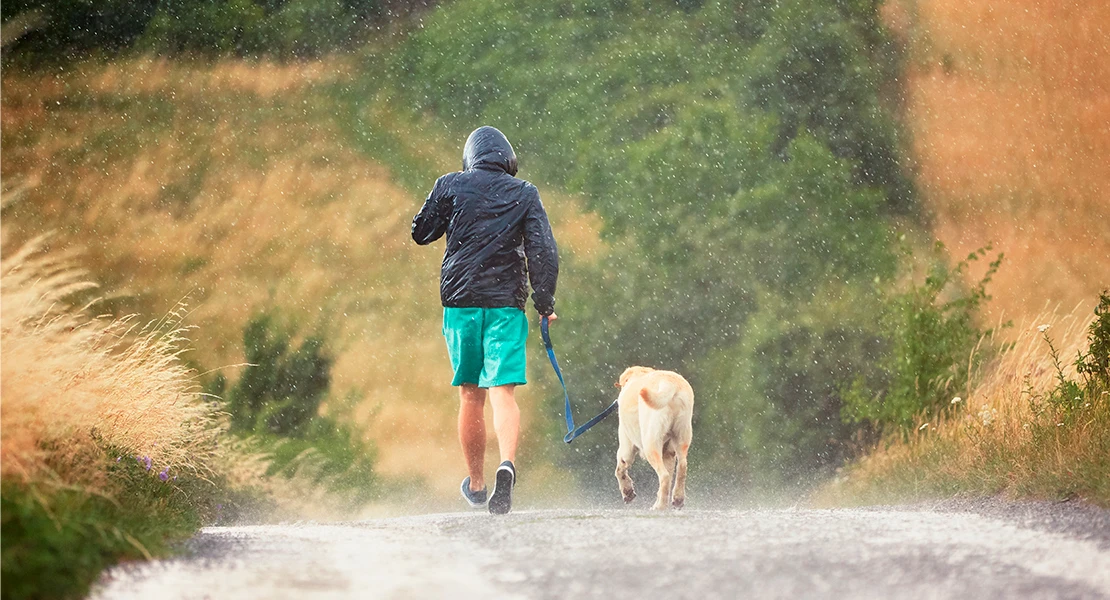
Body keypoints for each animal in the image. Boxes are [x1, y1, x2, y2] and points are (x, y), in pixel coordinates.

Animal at [617, 365, 692, 510]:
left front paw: (627, 492)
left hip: (650, 444)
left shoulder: (626, 447)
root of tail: (670, 384)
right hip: (682, 438)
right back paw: (677, 499)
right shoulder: (668, 453)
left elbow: (619, 469)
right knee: (681, 467)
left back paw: (660, 506)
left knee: (664, 476)